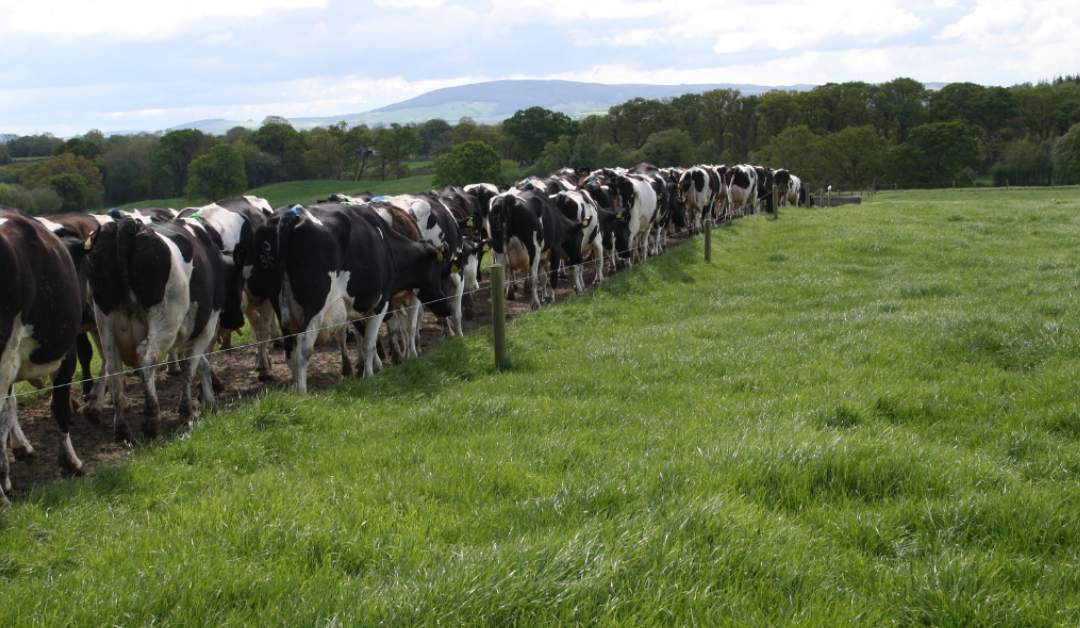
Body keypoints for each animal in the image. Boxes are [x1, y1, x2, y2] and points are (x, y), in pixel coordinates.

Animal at [85, 212, 245, 438]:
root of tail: (129, 225)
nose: (238, 320)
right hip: (165, 321)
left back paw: (122, 428)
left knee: (113, 367)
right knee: (146, 357)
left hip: (105, 323)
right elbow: (191, 366)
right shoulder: (205, 327)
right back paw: (151, 418)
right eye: (240, 280)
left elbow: (202, 365)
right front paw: (187, 411)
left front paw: (209, 399)